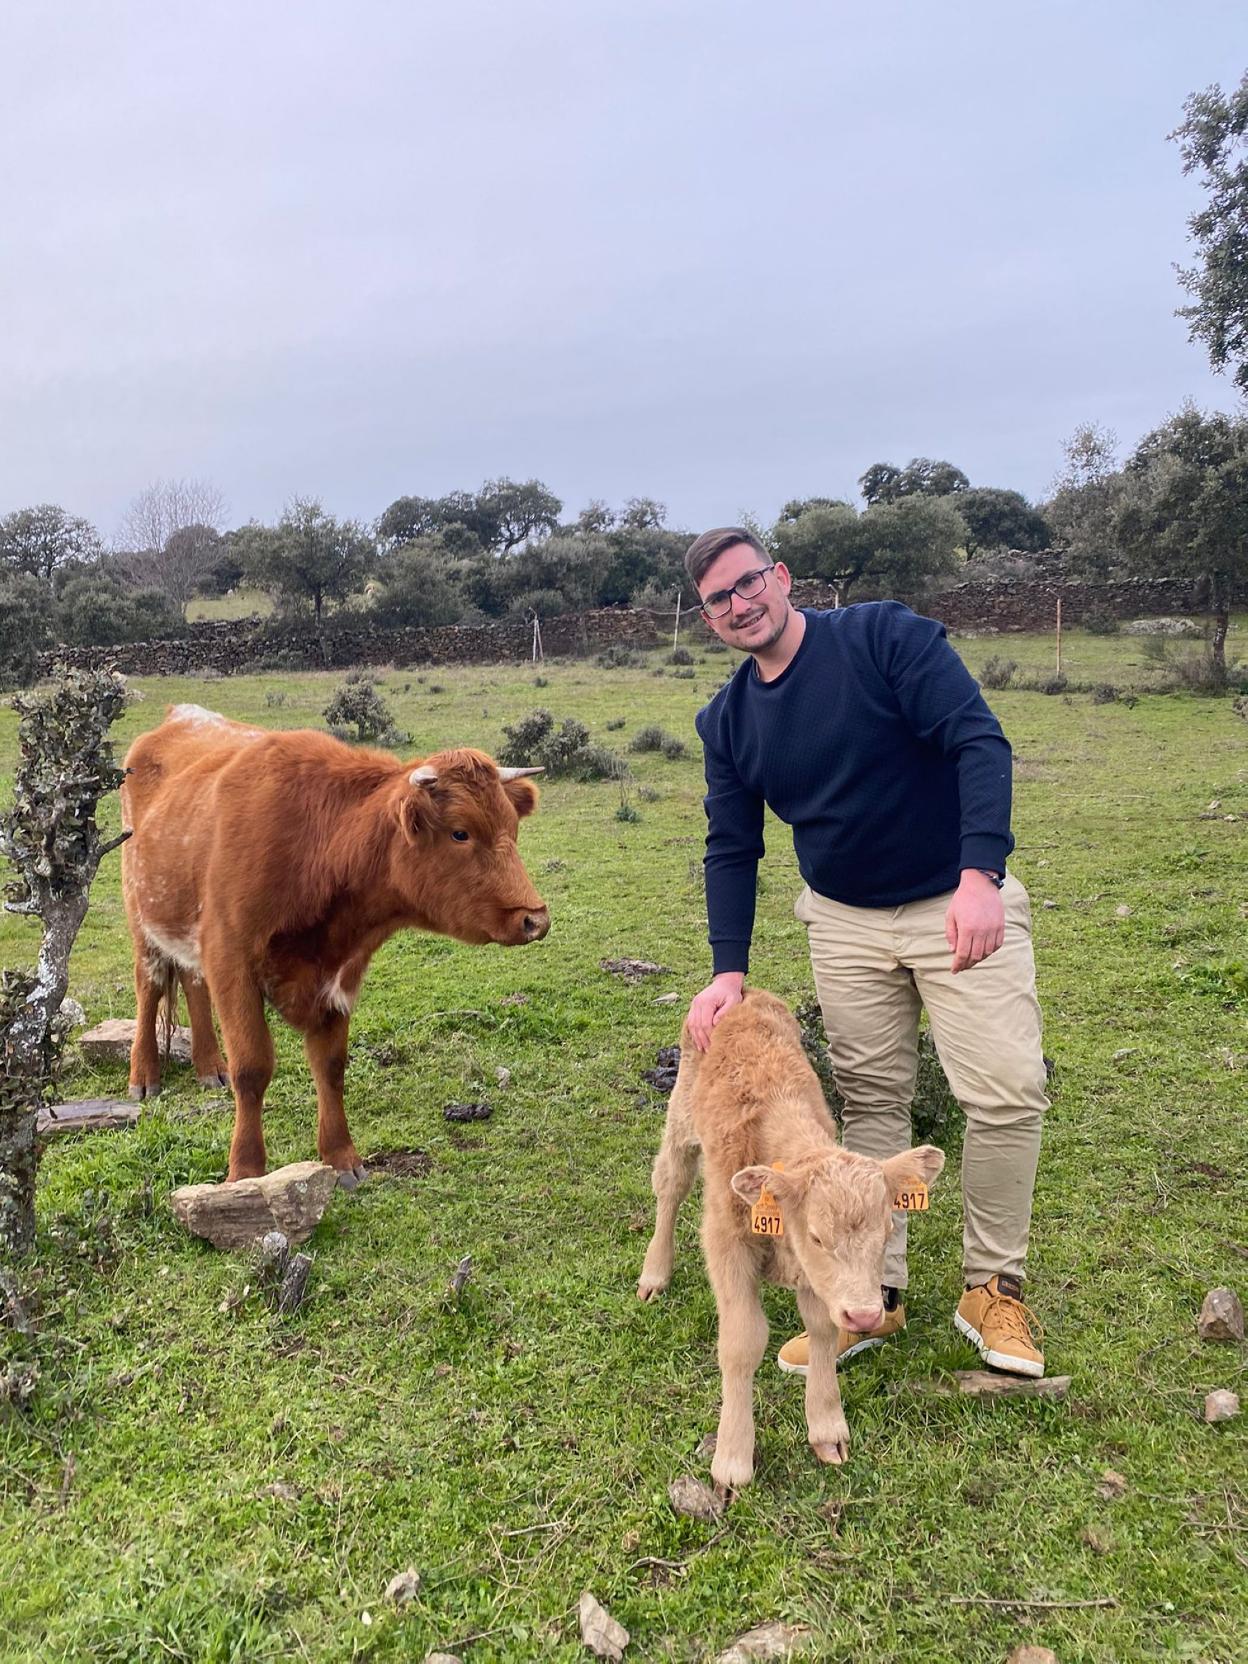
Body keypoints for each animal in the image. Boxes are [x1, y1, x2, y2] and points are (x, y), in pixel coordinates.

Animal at [120, 702, 545, 1184]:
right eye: (460, 833)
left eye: (512, 828)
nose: (535, 918)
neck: (317, 848)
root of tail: (178, 715)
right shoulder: (231, 961)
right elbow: (252, 1067)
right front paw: (245, 1170)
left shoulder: (340, 974)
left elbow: (331, 1066)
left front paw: (341, 1156)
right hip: (143, 919)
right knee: (150, 987)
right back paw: (144, 1074)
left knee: (192, 982)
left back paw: (210, 1066)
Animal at [638, 985, 945, 1497]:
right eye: (817, 1237)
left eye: (888, 1232)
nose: (865, 1316)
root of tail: (743, 991)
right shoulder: (725, 1242)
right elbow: (742, 1341)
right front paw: (732, 1459)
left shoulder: (816, 1281)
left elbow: (822, 1329)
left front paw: (827, 1428)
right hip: (681, 1116)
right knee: (670, 1183)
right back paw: (654, 1273)